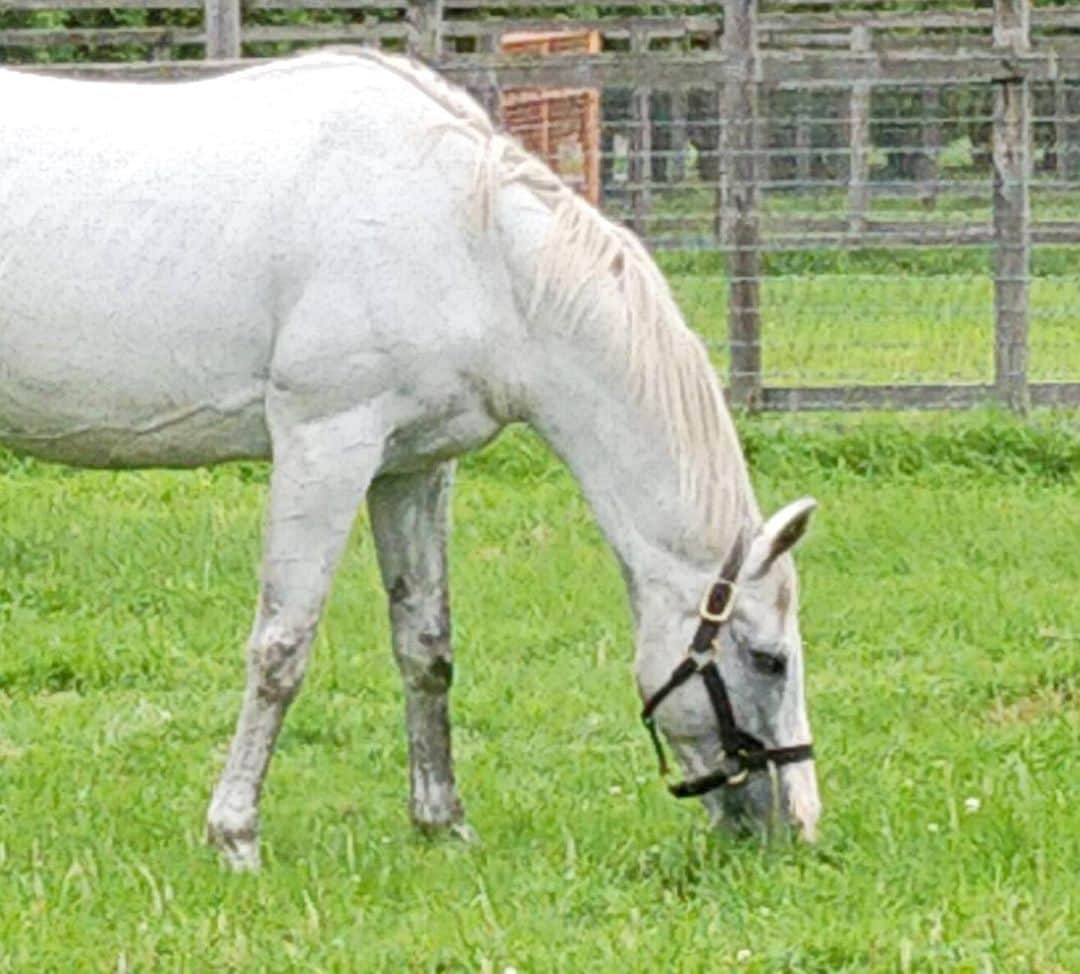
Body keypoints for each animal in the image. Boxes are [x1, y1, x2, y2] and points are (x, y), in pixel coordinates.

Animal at [2, 51, 816, 868]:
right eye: (768, 658)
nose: (795, 829)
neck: (471, 245)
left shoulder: (412, 468)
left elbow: (426, 646)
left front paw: (442, 821)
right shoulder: (325, 444)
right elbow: (281, 649)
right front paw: (235, 836)